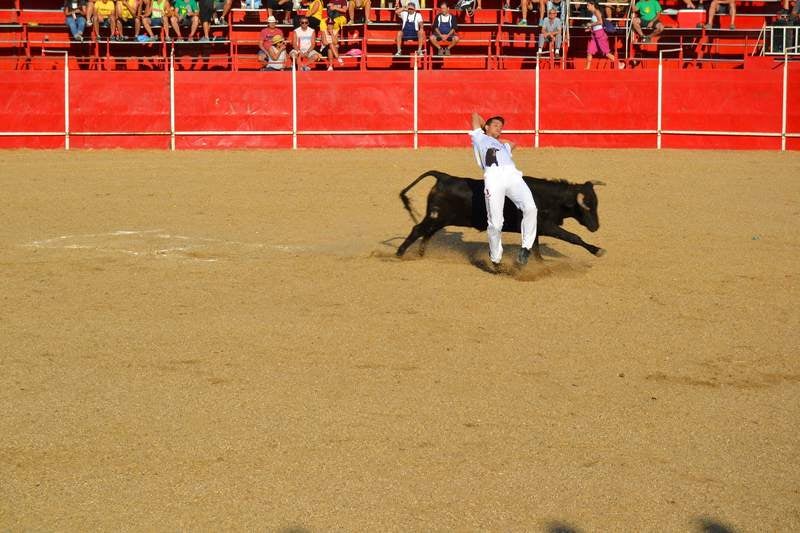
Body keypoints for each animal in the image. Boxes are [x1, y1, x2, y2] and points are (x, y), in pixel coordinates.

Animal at [396, 169, 604, 258]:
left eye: (596, 203)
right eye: (587, 206)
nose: (596, 227)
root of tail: (444, 177)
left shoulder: (535, 228)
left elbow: (535, 247)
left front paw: (540, 263)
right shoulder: (547, 226)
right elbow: (573, 237)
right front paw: (597, 250)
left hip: (440, 219)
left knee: (427, 233)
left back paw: (421, 253)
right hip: (436, 217)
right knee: (418, 230)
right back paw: (399, 253)